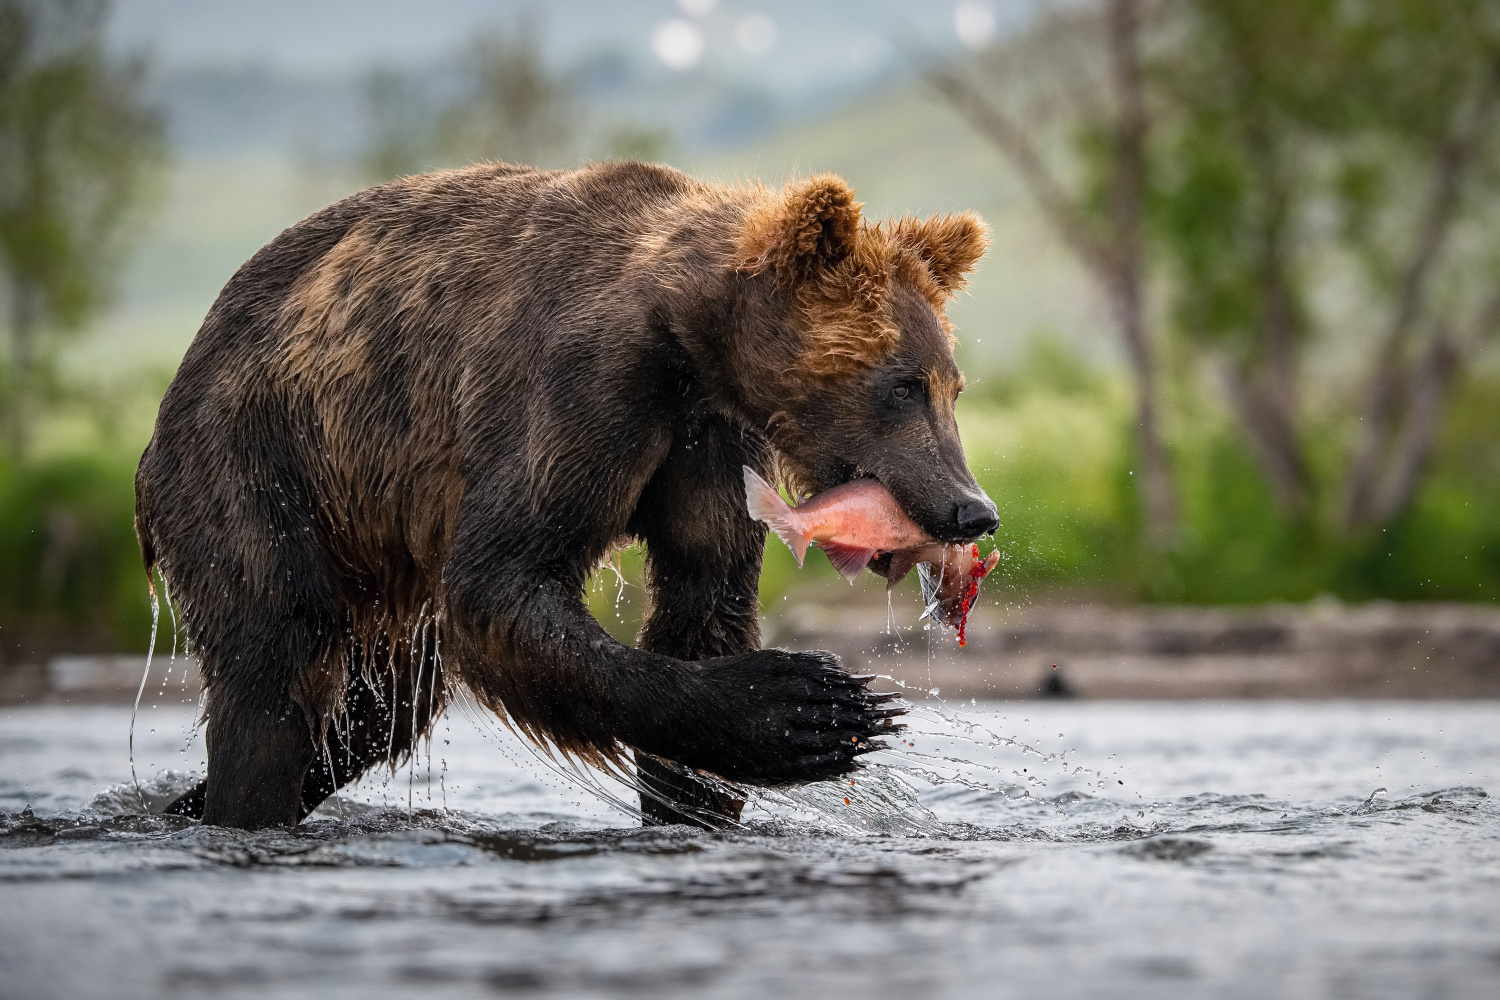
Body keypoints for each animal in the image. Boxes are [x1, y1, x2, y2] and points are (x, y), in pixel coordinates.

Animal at [138, 162, 996, 827]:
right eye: (902, 385)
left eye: (953, 386)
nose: (973, 509)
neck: (688, 340)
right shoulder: (580, 386)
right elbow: (504, 584)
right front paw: (805, 706)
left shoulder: (708, 440)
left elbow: (703, 598)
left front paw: (699, 799)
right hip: (261, 458)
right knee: (275, 664)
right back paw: (238, 803)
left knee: (379, 710)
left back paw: (192, 802)